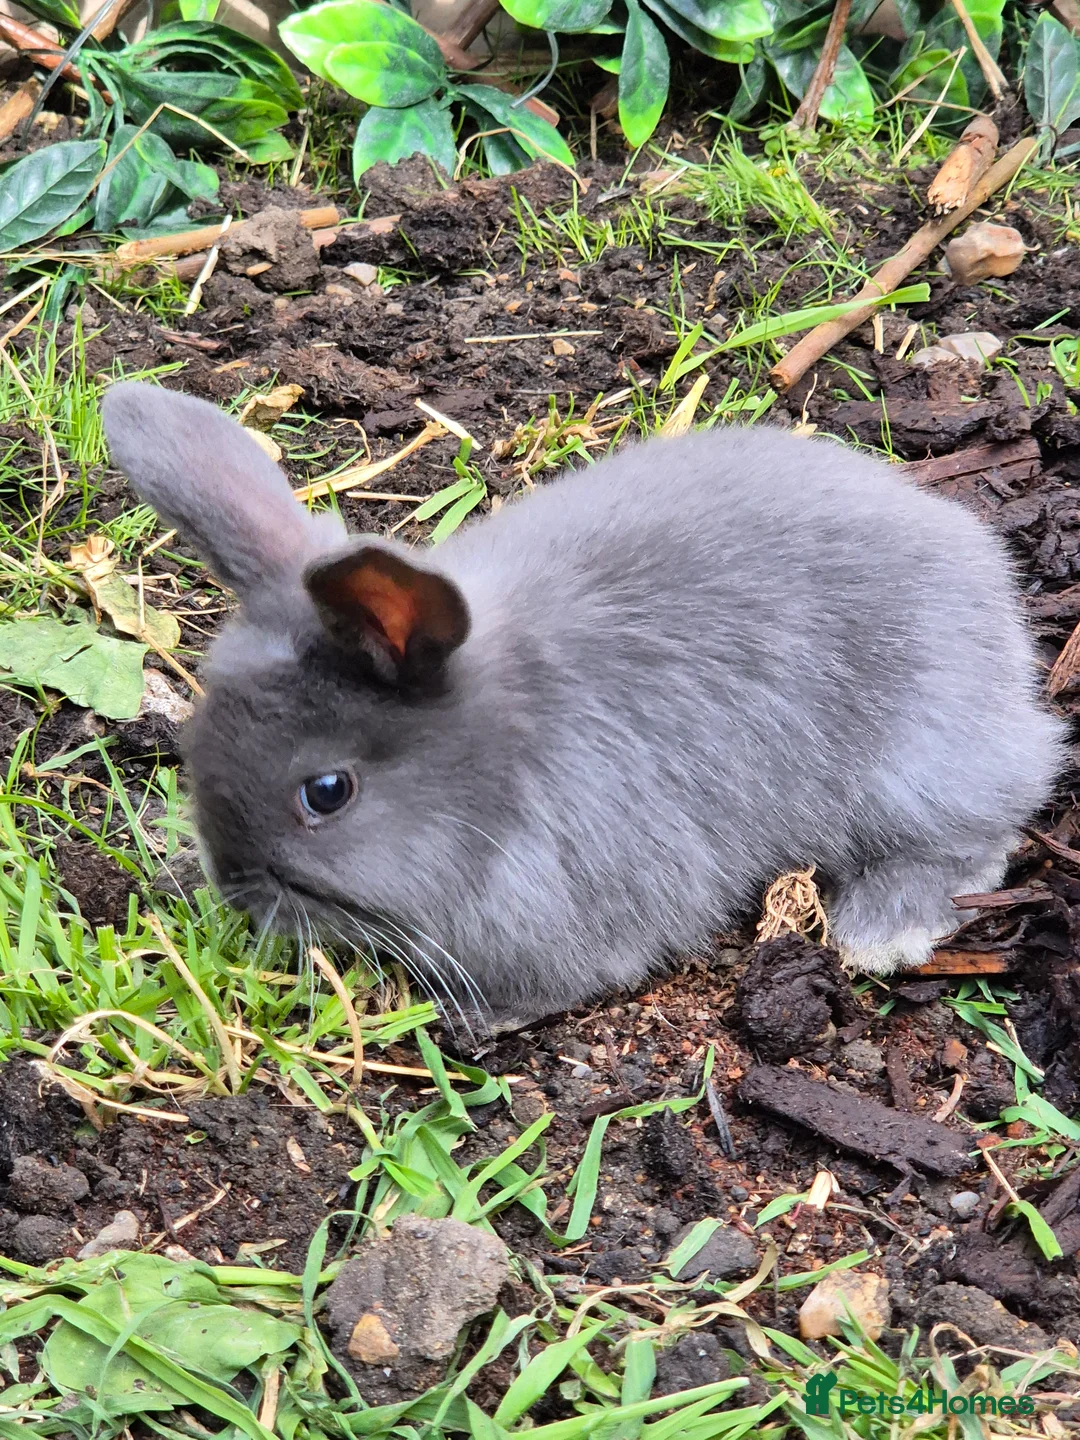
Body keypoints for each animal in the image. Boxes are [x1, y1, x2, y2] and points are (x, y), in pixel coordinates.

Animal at [101, 379, 1066, 1028]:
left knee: (976, 834)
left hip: (916, 764)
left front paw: (481, 1020)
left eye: (327, 794)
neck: (503, 759)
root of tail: (979, 572)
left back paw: (879, 930)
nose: (236, 889)